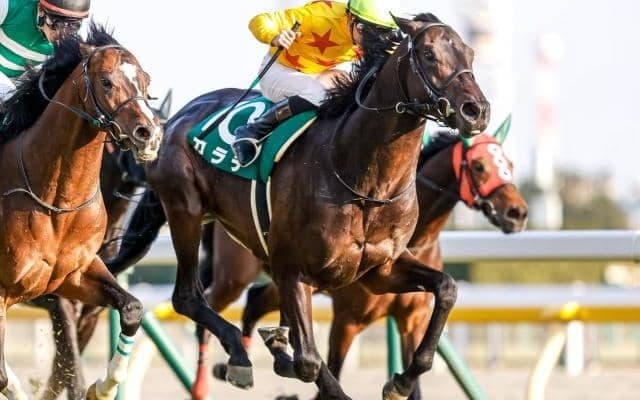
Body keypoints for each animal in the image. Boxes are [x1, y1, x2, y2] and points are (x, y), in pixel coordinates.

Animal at [0, 23, 162, 400]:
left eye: (146, 81)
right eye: (106, 81)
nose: (149, 134)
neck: (57, 203)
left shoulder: (76, 276)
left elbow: (131, 308)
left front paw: (104, 386)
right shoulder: (25, 294)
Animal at [106, 13, 489, 399]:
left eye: (470, 54)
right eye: (428, 54)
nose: (476, 111)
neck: (363, 180)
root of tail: (173, 120)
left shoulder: (380, 271)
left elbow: (447, 288)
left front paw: (401, 381)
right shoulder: (295, 271)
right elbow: (309, 362)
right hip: (186, 211)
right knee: (188, 297)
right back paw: (239, 355)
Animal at [196, 125, 528, 400]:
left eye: (509, 165)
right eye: (479, 165)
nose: (517, 213)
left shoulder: (412, 320)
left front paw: (399, 384)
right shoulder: (347, 321)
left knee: (255, 301)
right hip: (234, 276)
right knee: (212, 307)